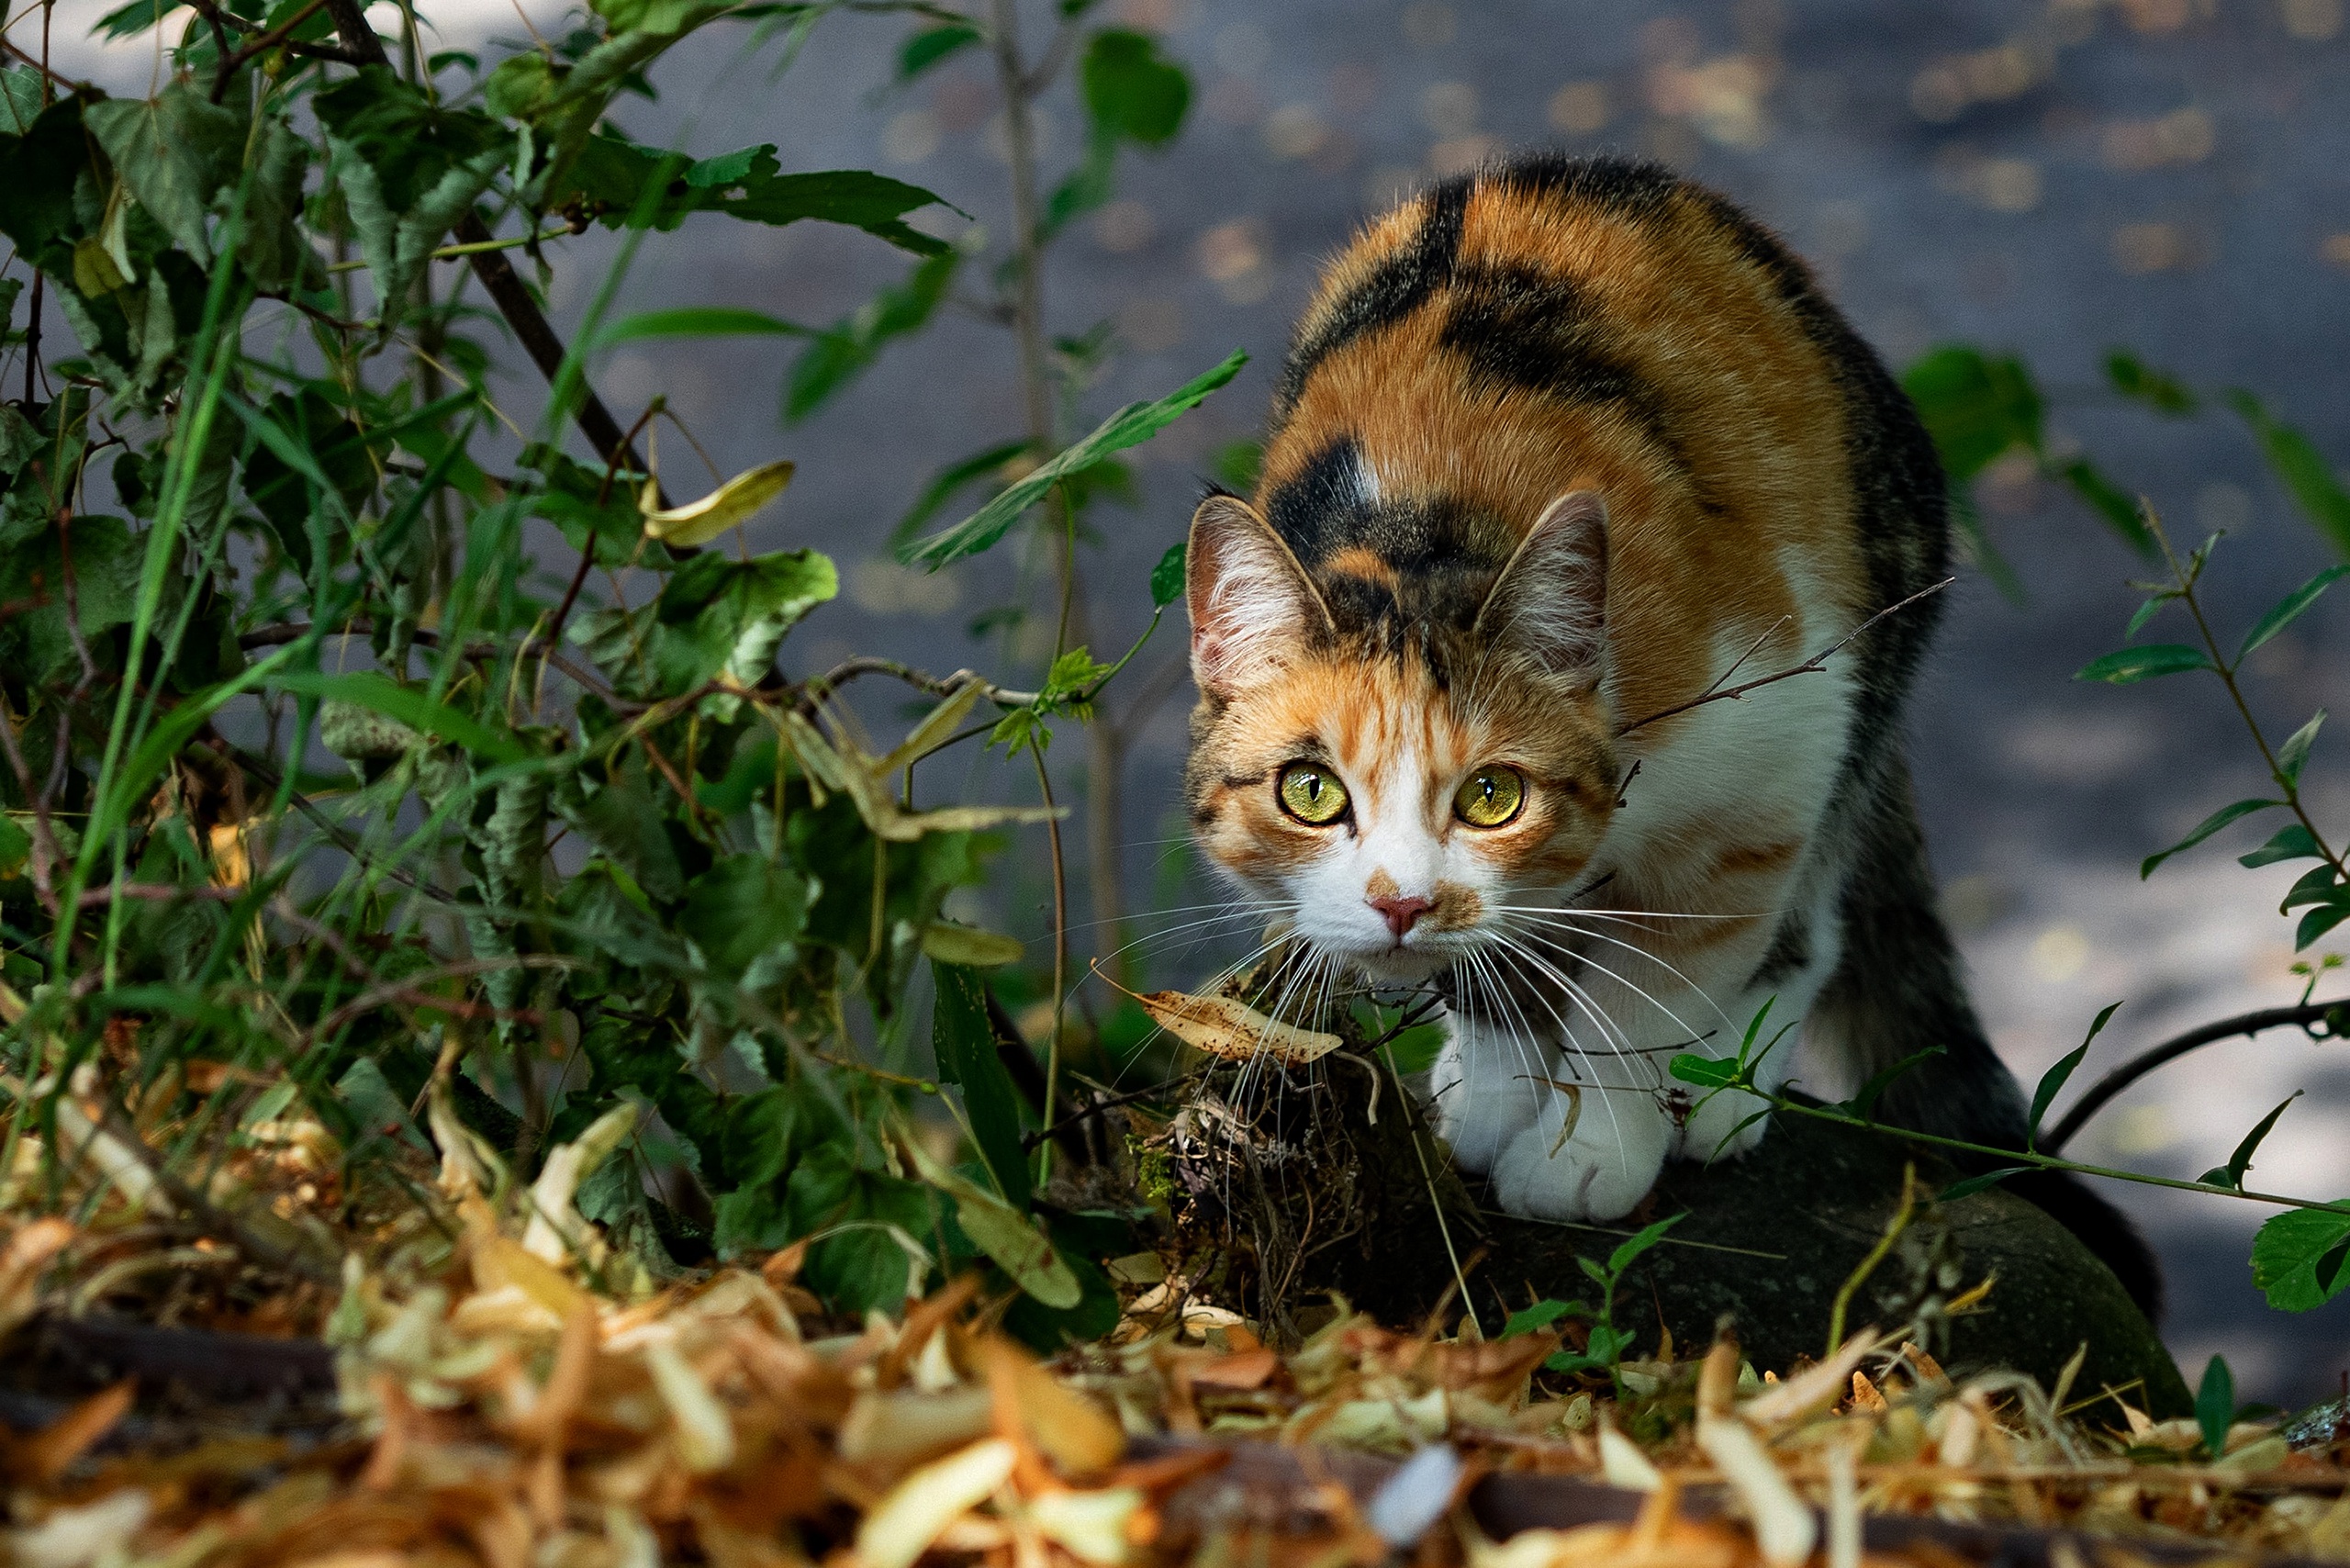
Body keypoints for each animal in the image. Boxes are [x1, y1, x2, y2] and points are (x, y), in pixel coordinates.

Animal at [1184, 156, 2152, 1316]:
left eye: (1490, 796)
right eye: (1311, 792)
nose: (1399, 904)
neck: (1417, 529)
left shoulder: (1769, 766)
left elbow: (1649, 988)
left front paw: (1591, 1144)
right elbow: (1498, 969)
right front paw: (1500, 1079)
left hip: (1875, 636)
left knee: (1812, 921)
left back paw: (1730, 1077)